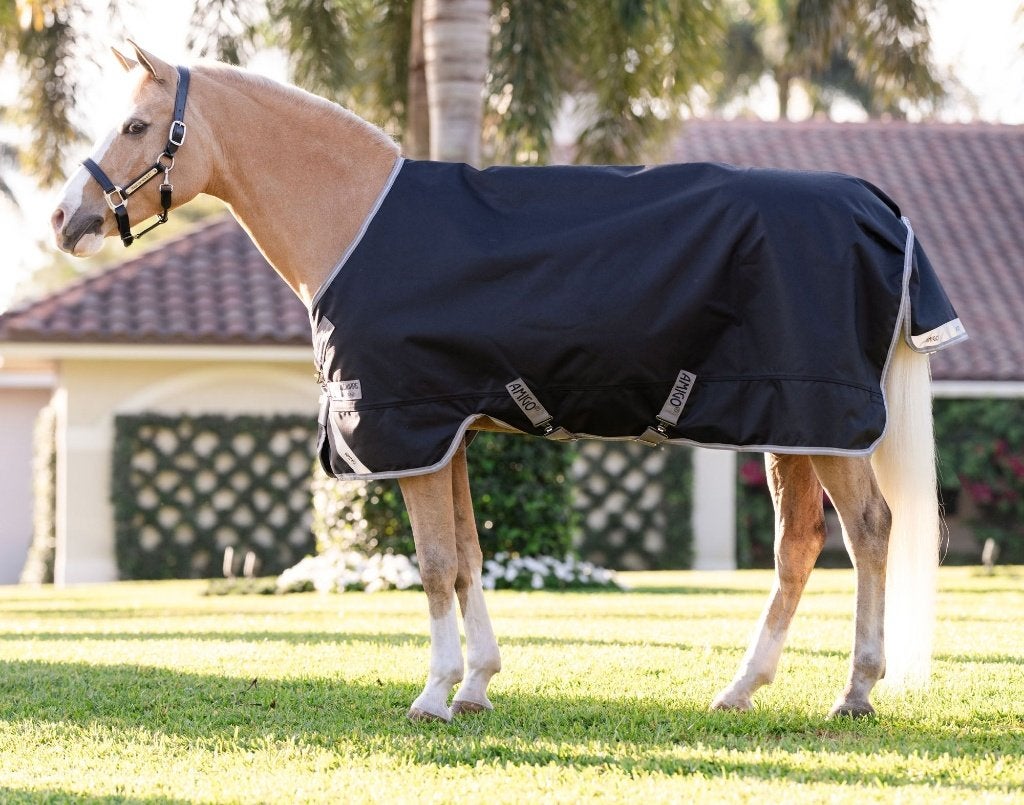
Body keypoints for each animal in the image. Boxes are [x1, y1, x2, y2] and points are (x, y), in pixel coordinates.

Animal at [51, 42, 961, 722]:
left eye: (136, 123)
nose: (65, 220)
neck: (354, 219)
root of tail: (878, 206)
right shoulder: (445, 431)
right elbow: (468, 557)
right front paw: (478, 683)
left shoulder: (409, 431)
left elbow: (432, 564)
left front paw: (432, 694)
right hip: (791, 420)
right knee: (798, 545)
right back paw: (741, 689)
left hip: (826, 422)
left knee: (869, 531)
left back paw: (855, 691)